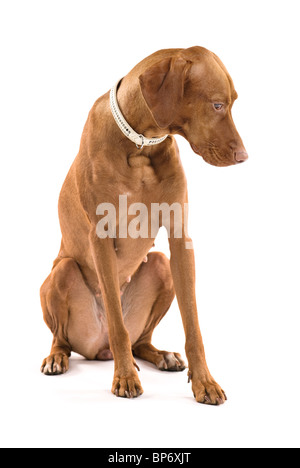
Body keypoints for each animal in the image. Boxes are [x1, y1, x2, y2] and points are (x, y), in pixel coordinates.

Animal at [40, 48, 248, 406]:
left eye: (231, 103)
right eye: (217, 105)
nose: (244, 156)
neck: (140, 144)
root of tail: (99, 350)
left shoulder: (180, 238)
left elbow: (193, 325)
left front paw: (204, 381)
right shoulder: (101, 238)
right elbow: (116, 321)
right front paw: (124, 376)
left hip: (162, 266)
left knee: (141, 339)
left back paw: (162, 355)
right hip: (63, 274)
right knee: (64, 336)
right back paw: (57, 357)